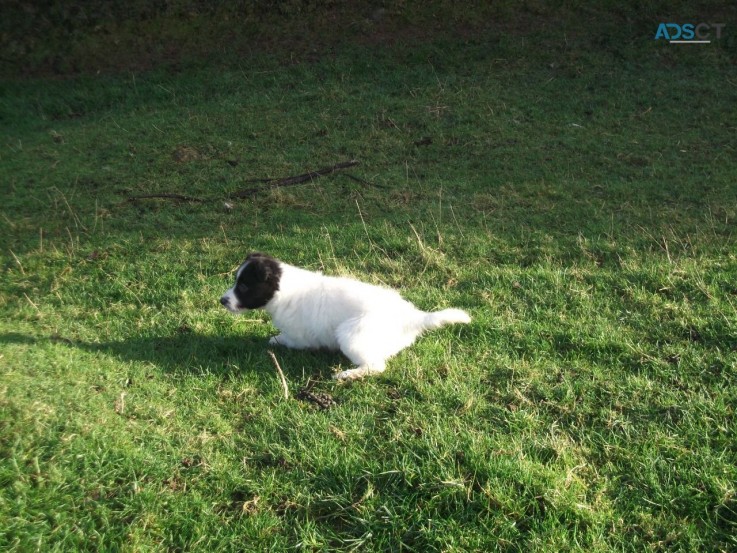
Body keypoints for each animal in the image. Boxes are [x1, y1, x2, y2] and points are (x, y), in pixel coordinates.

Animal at [220, 251, 472, 378]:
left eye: (244, 286)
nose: (222, 300)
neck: (282, 289)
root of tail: (412, 317)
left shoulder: (300, 336)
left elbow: (289, 339)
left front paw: (276, 339)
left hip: (351, 335)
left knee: (376, 366)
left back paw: (348, 374)